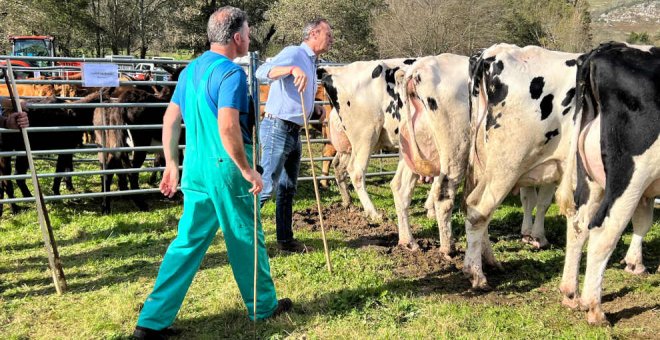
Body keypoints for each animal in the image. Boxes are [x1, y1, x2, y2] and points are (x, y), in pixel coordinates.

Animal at [556, 41, 660, 324]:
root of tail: (605, 50)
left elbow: (643, 221)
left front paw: (635, 263)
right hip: (631, 173)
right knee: (603, 230)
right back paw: (595, 308)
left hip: (592, 179)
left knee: (578, 224)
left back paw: (571, 294)